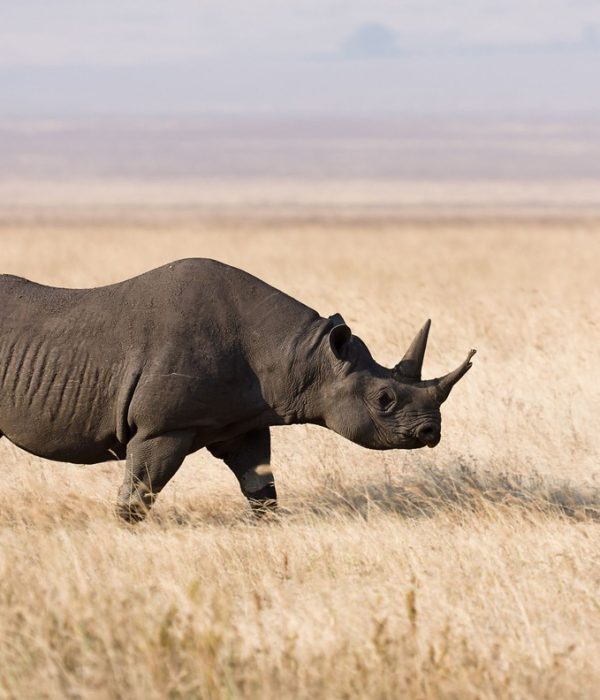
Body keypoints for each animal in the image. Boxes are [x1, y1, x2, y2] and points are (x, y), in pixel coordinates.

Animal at [0, 259, 475, 521]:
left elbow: (261, 489)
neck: (304, 356)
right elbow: (137, 497)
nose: (431, 433)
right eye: (384, 400)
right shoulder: (162, 428)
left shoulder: (243, 421)